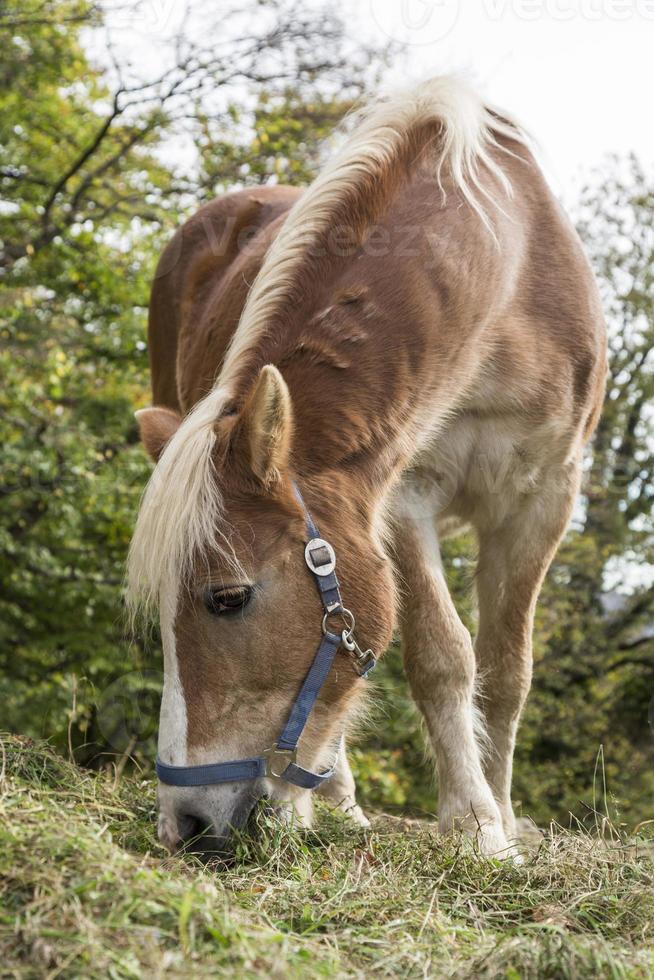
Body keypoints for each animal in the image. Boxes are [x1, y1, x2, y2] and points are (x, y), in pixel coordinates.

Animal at [128, 78, 608, 856]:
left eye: (227, 598)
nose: (185, 824)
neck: (507, 282)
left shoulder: (543, 500)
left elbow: (507, 671)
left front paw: (499, 821)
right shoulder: (400, 498)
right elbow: (443, 656)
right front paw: (472, 822)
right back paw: (333, 805)